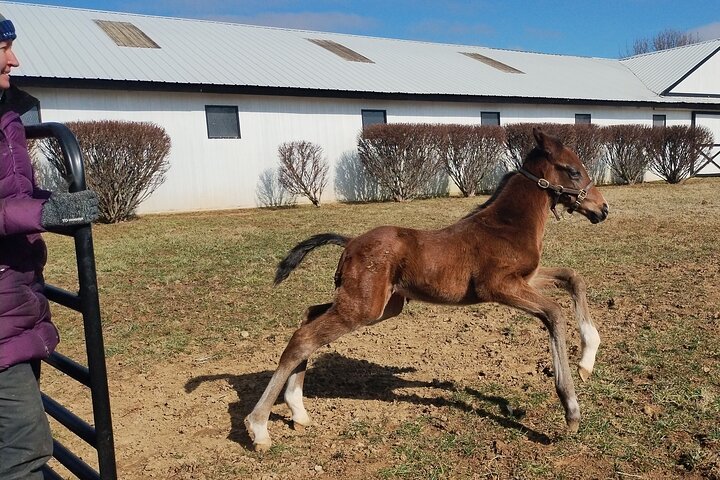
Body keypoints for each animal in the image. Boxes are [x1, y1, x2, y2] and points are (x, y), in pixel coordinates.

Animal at [245, 127, 609, 451]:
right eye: (574, 171)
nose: (602, 209)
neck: (506, 225)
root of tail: (349, 242)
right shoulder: (498, 286)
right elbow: (554, 312)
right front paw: (571, 408)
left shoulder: (527, 278)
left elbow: (573, 277)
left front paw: (588, 359)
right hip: (362, 308)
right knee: (303, 338)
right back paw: (259, 427)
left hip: (378, 305)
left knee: (309, 317)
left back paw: (297, 410)